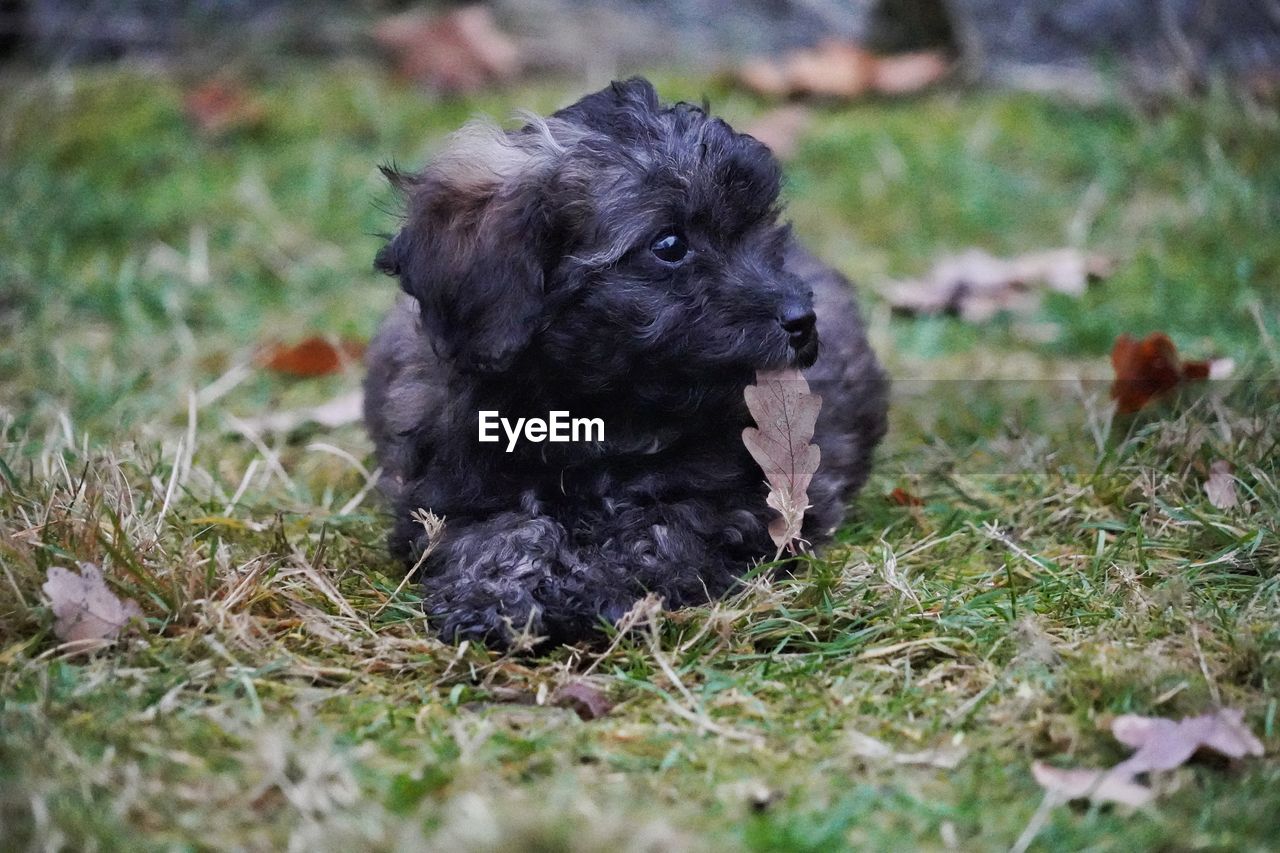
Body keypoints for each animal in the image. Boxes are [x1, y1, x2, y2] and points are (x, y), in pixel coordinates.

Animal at [366, 78, 885, 645]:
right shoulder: (446, 494)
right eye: (670, 244)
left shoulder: (744, 500)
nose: (802, 320)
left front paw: (593, 585)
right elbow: (496, 532)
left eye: (764, 231)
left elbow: (656, 532)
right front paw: (495, 595)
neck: (590, 411)